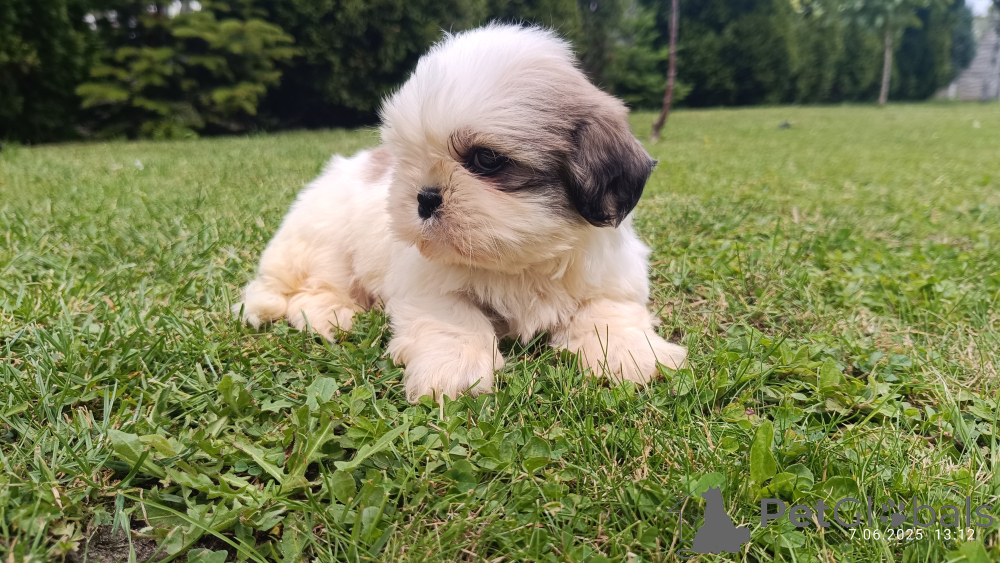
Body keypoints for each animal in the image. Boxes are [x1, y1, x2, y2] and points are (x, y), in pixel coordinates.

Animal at [235, 24, 687, 402]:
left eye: (486, 159)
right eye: (408, 159)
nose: (424, 197)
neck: (520, 261)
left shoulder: (610, 275)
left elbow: (608, 311)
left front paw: (631, 355)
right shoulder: (425, 285)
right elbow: (455, 317)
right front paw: (454, 370)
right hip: (326, 245)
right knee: (310, 291)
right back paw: (332, 315)